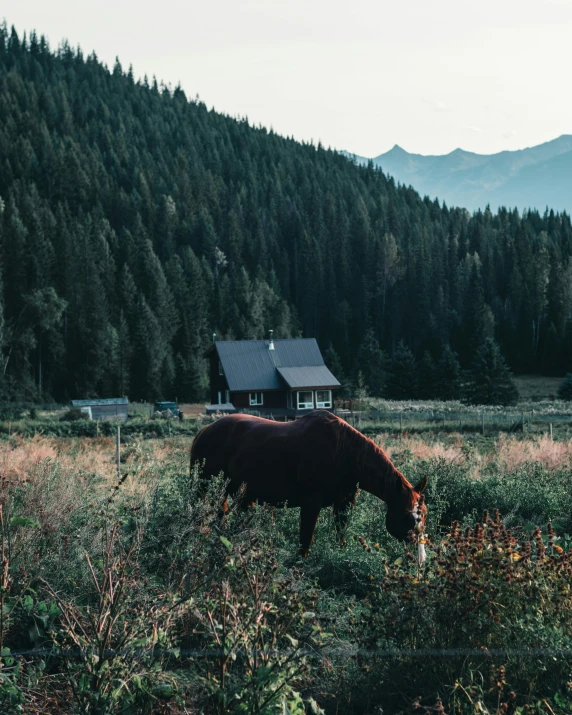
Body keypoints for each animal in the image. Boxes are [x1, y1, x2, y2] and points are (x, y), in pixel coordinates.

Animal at [190, 412, 426, 556]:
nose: (420, 556)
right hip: (204, 489)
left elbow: (341, 535)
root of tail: (204, 430)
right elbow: (305, 541)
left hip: (241, 497)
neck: (344, 453)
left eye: (424, 514)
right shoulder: (311, 503)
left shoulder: (345, 504)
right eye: (407, 516)